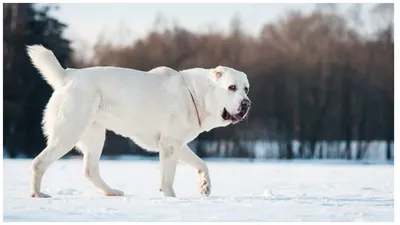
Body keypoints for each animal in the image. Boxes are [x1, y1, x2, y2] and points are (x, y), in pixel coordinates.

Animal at [25, 44, 250, 198]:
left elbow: (202, 163)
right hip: (69, 132)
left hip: (95, 135)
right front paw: (171, 198)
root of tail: (67, 75)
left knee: (90, 170)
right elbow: (168, 178)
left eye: (246, 88)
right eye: (231, 88)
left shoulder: (175, 143)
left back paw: (111, 192)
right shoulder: (169, 145)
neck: (196, 95)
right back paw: (37, 194)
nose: (246, 103)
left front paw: (205, 186)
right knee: (39, 162)